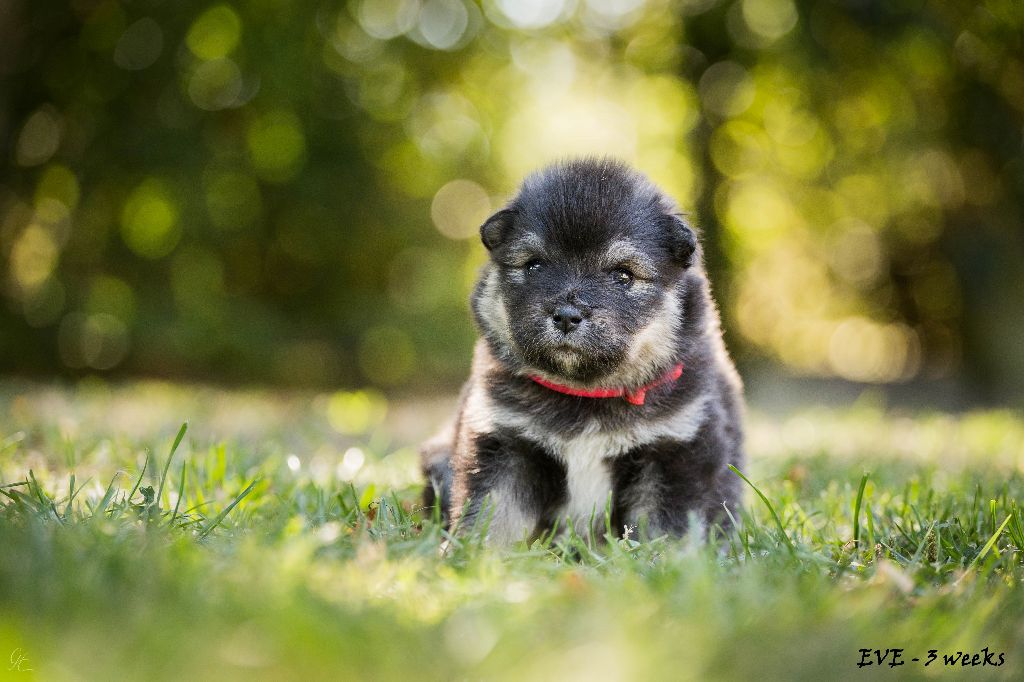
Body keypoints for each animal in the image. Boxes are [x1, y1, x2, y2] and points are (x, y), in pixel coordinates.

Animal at [421, 158, 745, 543]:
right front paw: (473, 555)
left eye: (623, 275)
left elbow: (665, 530)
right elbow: (493, 515)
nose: (566, 315)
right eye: (534, 265)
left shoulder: (675, 451)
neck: (586, 395)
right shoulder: (504, 442)